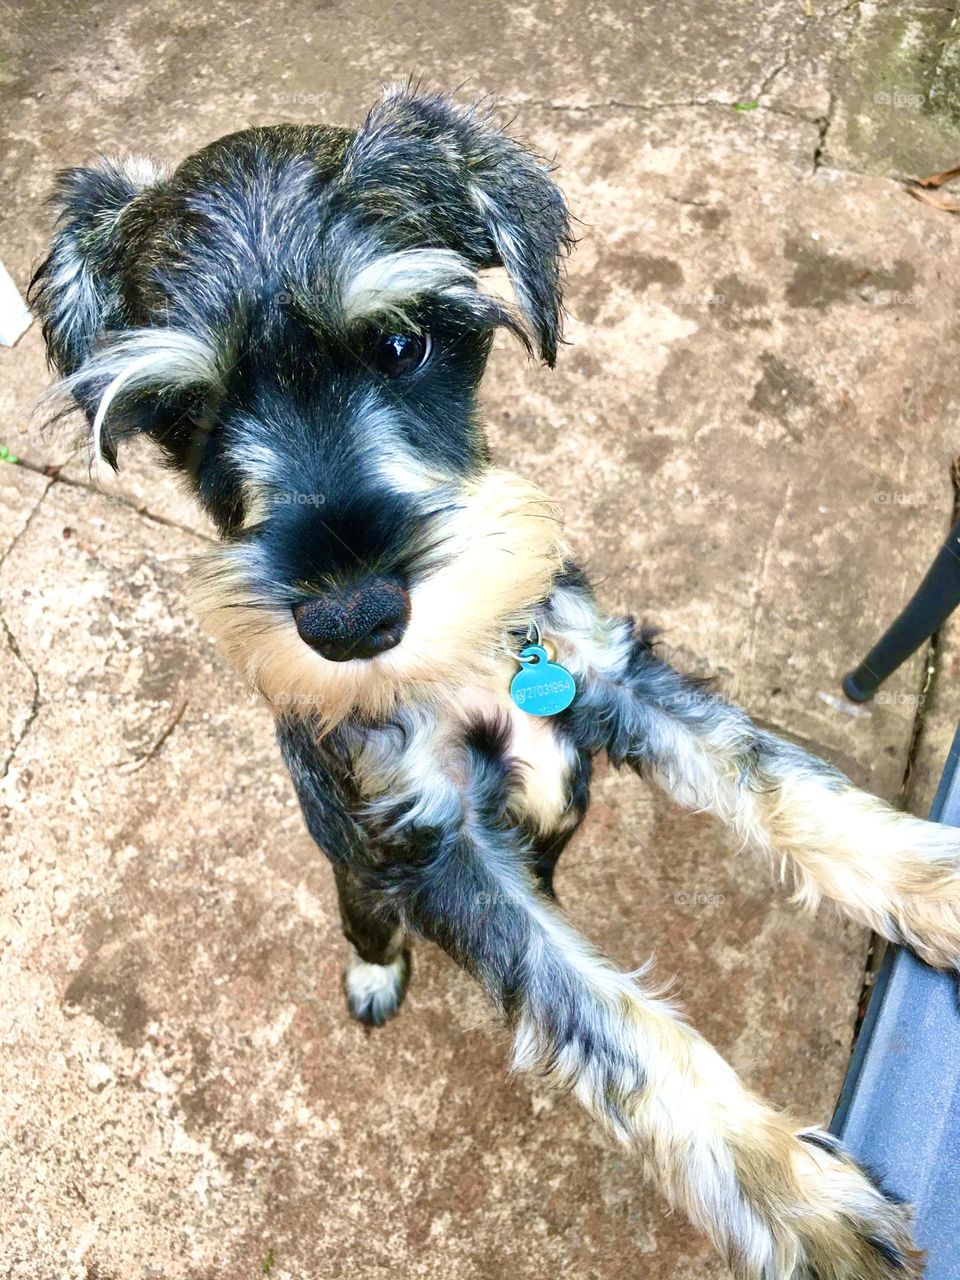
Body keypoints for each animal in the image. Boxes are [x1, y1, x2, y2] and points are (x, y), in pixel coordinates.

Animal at [30, 85, 960, 1274]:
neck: (468, 666)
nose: (348, 619)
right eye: (184, 415)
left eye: (402, 341)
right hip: (359, 869)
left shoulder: (616, 676)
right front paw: (794, 1196)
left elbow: (784, 785)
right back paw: (374, 973)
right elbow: (615, 1025)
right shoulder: (432, 846)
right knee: (367, 922)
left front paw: (940, 886)